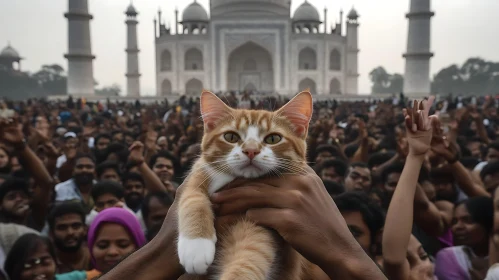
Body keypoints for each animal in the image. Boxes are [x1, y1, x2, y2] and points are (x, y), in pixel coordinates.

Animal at [179, 91, 320, 278]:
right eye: (231, 137)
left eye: (273, 138)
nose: (251, 150)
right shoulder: (198, 175)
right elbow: (192, 200)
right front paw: (195, 246)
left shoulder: (260, 218)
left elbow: (250, 254)